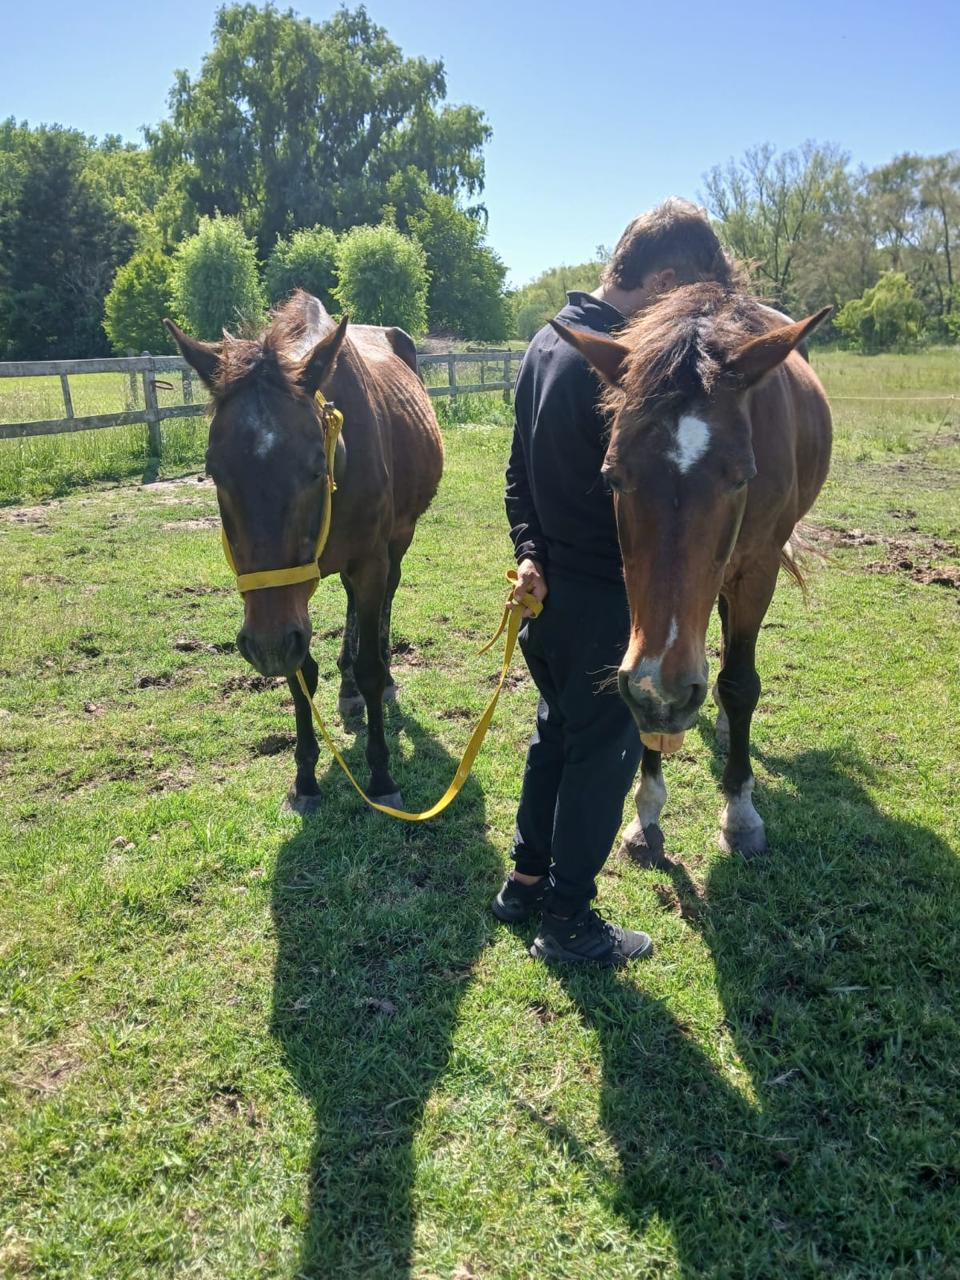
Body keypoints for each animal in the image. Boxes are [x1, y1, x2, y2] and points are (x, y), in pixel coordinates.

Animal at [164, 291, 443, 811]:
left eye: (316, 466)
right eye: (214, 471)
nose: (267, 647)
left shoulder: (369, 562)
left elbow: (371, 665)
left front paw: (381, 775)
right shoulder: (286, 600)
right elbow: (300, 675)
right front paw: (306, 778)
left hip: (397, 540)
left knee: (386, 599)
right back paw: (347, 687)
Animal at [552, 283, 832, 859]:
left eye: (742, 477)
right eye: (612, 476)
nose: (666, 692)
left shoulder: (757, 571)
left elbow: (741, 683)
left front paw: (740, 812)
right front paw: (646, 811)